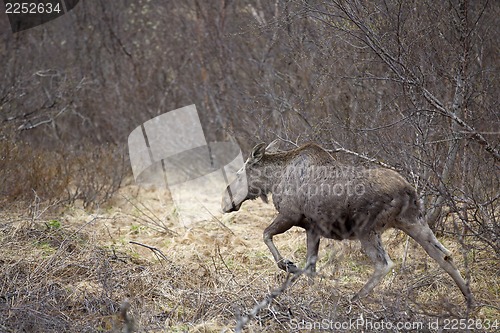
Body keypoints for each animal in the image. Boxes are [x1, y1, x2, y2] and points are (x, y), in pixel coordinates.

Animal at [222, 141, 472, 304]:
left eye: (238, 174)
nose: (225, 201)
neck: (273, 180)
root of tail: (408, 191)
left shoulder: (289, 215)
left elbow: (266, 234)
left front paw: (287, 264)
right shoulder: (312, 228)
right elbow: (311, 266)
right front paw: (311, 292)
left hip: (367, 229)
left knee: (384, 263)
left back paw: (354, 298)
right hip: (413, 221)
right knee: (444, 255)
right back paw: (469, 300)